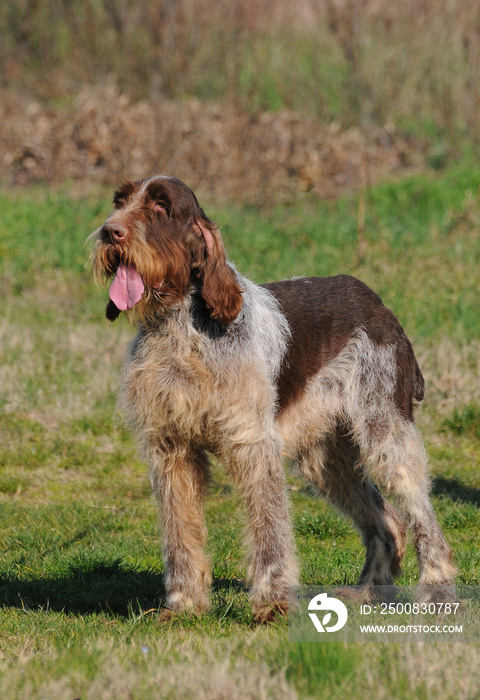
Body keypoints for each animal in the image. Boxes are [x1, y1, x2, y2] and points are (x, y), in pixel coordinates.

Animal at [91, 175, 458, 624]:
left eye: (161, 206)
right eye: (120, 201)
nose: (111, 231)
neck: (180, 329)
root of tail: (379, 305)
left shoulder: (252, 443)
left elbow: (270, 527)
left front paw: (272, 602)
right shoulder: (171, 450)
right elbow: (181, 534)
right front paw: (184, 605)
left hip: (386, 435)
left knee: (424, 521)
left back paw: (437, 593)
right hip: (325, 458)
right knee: (387, 522)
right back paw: (368, 594)